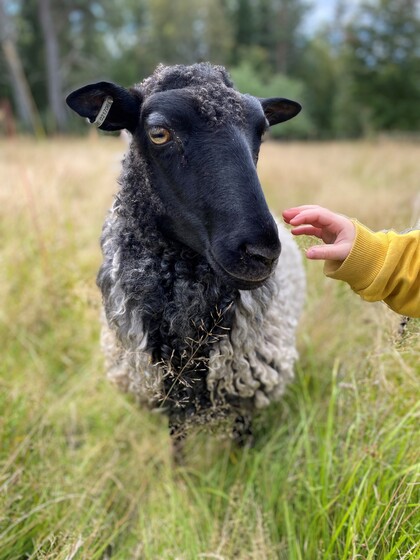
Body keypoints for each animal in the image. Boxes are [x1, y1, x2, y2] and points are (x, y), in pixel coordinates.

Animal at [67, 63, 306, 458]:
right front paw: (180, 472)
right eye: (159, 133)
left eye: (261, 132)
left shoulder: (242, 381)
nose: (260, 254)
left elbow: (242, 437)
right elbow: (177, 439)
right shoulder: (163, 386)